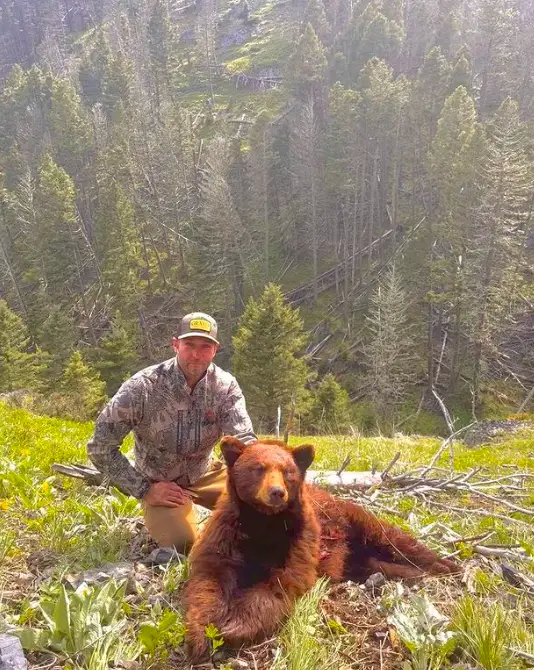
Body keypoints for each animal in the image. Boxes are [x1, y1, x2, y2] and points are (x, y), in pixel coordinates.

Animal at [183, 437, 458, 661]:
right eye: (258, 468)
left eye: (287, 471)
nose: (277, 492)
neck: (264, 523)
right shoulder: (227, 533)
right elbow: (209, 577)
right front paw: (201, 634)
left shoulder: (299, 538)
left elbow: (284, 581)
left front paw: (235, 626)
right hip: (357, 558)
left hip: (357, 523)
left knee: (396, 540)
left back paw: (447, 565)